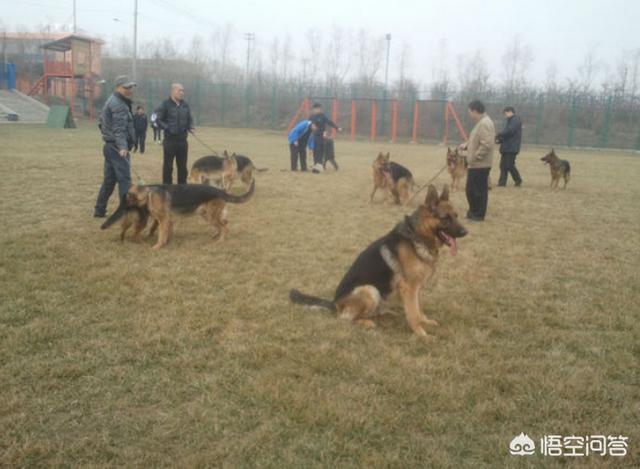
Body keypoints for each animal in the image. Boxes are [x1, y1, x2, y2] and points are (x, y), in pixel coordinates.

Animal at [102, 180, 255, 249]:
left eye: (124, 201)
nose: (120, 210)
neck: (148, 193)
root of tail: (221, 191)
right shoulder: (168, 221)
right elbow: (166, 234)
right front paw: (167, 244)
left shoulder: (163, 220)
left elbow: (161, 235)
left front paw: (158, 247)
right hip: (207, 215)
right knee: (224, 224)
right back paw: (216, 236)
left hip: (211, 216)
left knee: (225, 227)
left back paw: (220, 241)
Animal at [290, 184, 464, 336]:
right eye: (445, 218)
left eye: (456, 216)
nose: (466, 232)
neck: (418, 235)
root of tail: (335, 303)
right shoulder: (409, 288)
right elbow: (414, 314)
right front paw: (422, 334)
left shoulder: (417, 288)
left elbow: (418, 308)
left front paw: (425, 322)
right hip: (370, 290)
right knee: (345, 318)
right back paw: (367, 322)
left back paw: (387, 312)